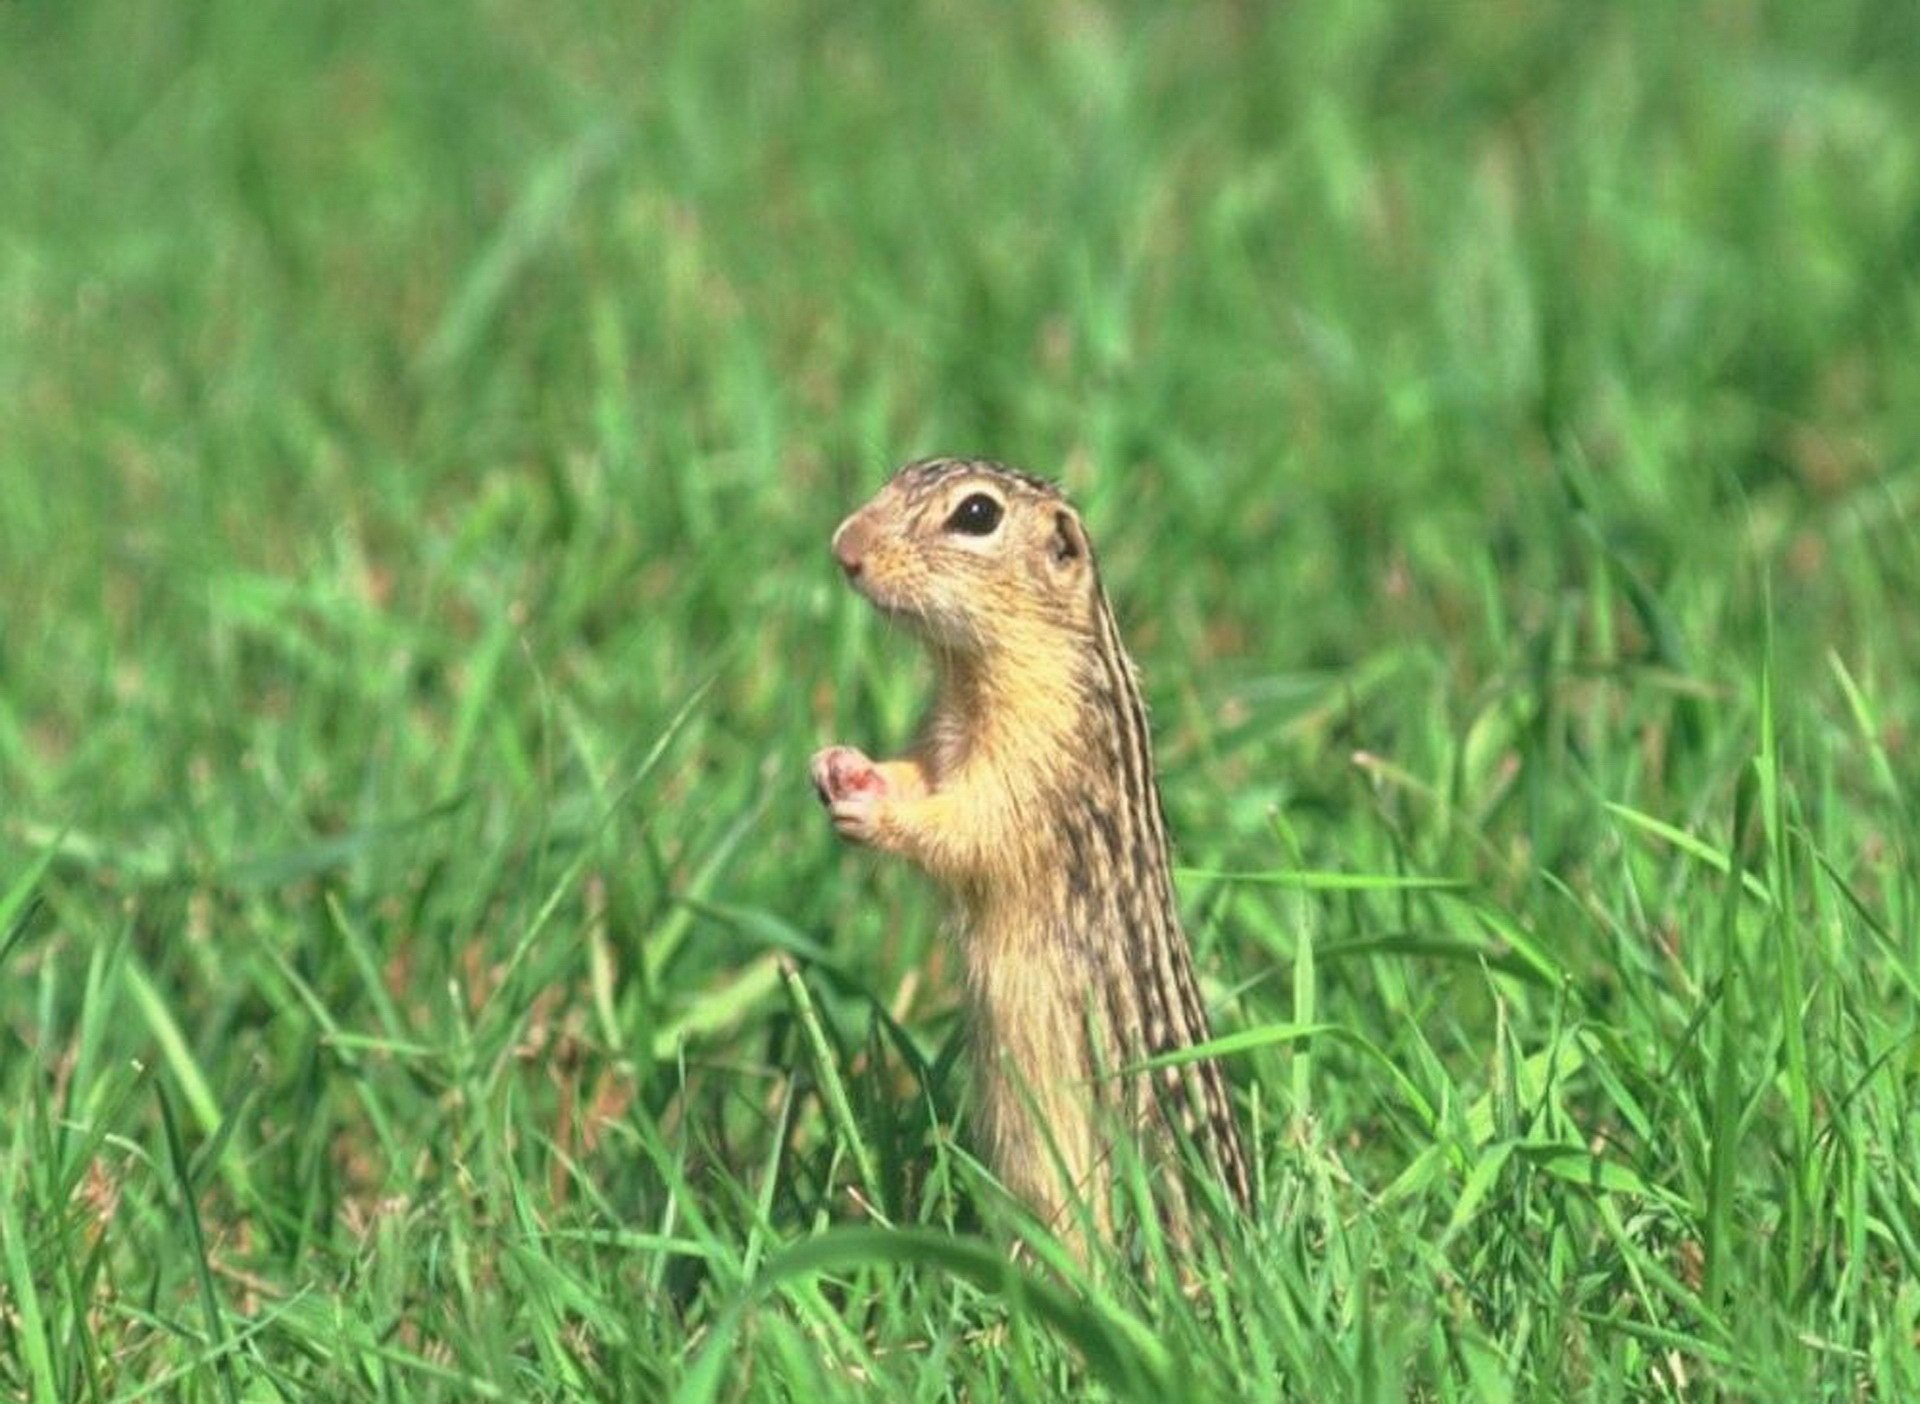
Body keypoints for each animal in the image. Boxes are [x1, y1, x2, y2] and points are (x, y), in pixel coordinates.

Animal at [806, 453, 1244, 1244]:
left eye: (977, 515)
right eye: (901, 472)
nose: (844, 547)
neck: (969, 679)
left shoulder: (1039, 757)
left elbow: (968, 827)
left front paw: (873, 809)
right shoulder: (940, 739)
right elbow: (921, 777)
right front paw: (840, 765)